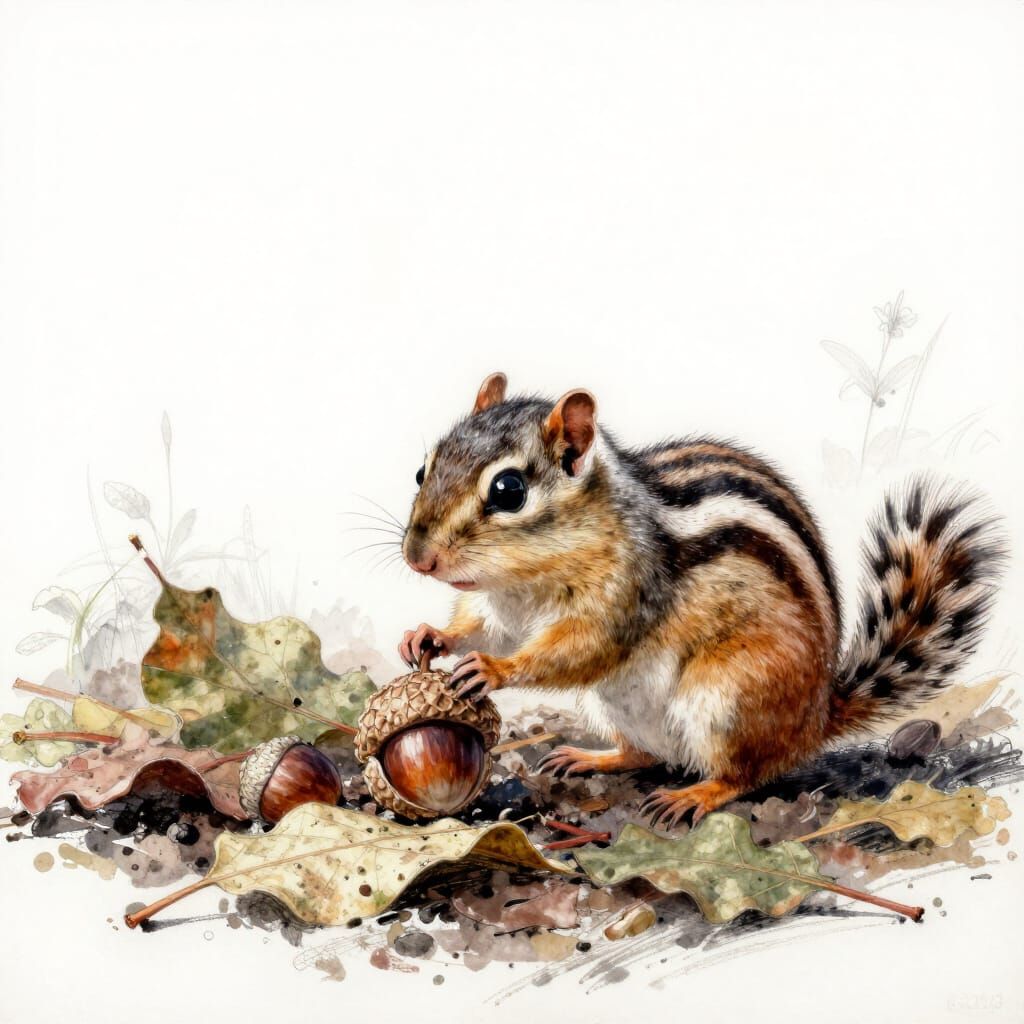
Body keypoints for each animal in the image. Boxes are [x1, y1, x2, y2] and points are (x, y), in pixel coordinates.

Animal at [398, 372, 1006, 827]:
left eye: (509, 491)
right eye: (423, 469)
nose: (418, 558)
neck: (524, 581)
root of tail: (818, 714)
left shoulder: (628, 593)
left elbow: (580, 650)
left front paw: (491, 669)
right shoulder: (497, 606)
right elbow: (481, 627)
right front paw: (429, 636)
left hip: (728, 697)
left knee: (744, 774)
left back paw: (694, 795)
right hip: (614, 705)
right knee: (645, 752)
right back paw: (591, 756)